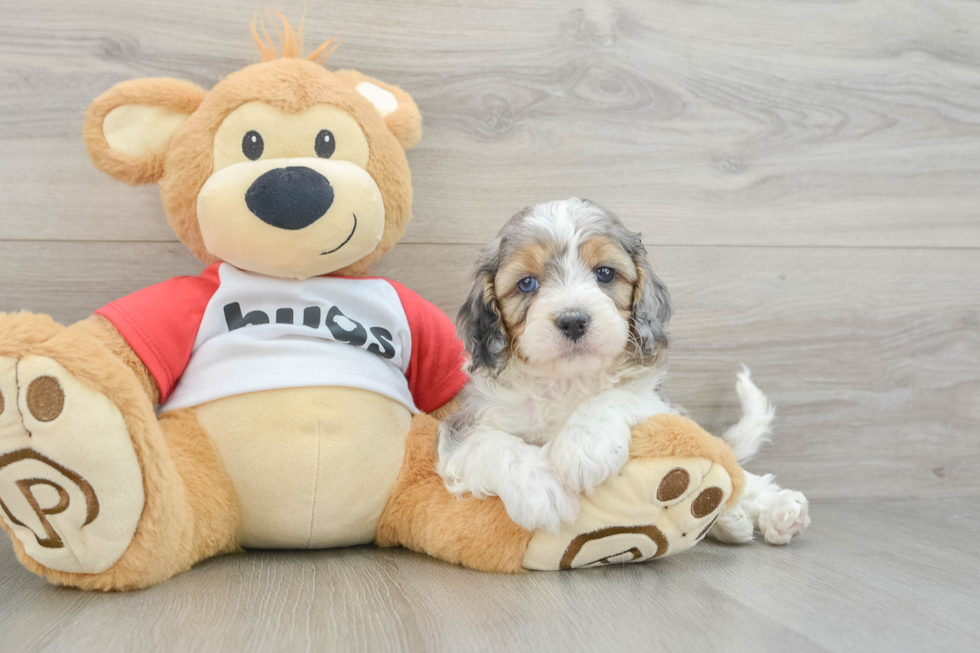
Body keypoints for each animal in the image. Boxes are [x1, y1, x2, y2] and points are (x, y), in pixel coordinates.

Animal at [440, 199, 808, 544]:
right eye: (527, 284)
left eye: (604, 273)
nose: (573, 320)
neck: (568, 380)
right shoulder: (464, 427)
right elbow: (493, 444)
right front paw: (540, 488)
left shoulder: (654, 401)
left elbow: (616, 395)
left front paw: (584, 446)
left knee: (744, 478)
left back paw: (777, 512)